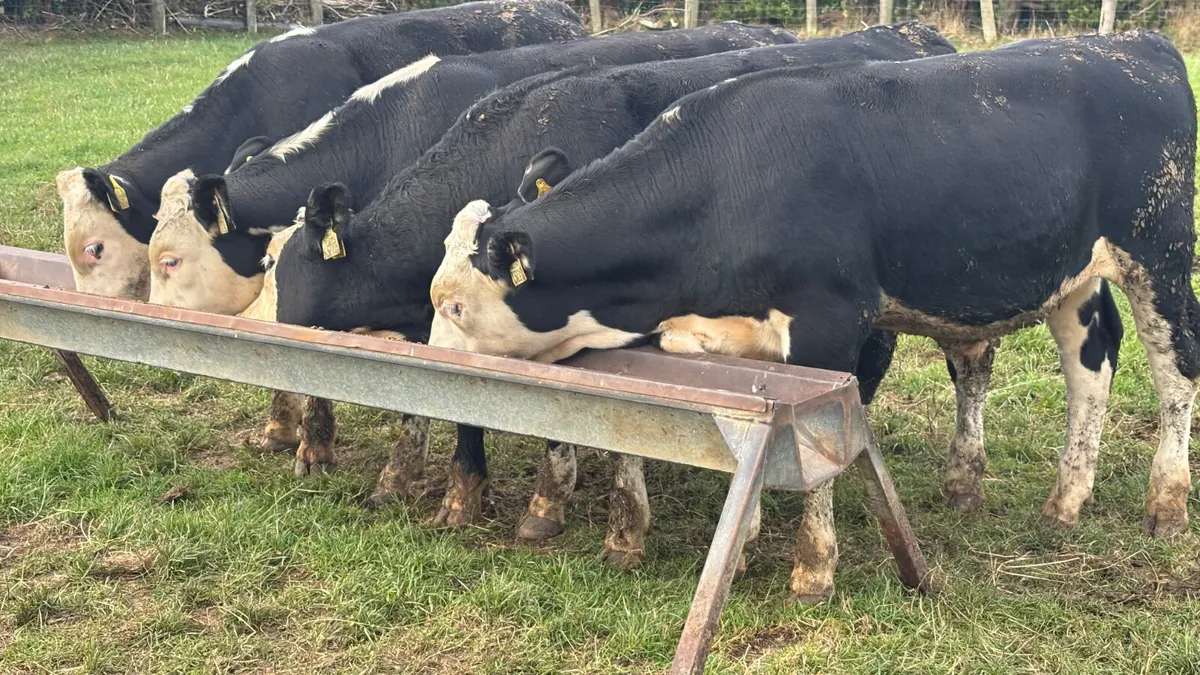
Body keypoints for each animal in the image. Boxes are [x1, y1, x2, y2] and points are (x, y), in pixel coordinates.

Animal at [426, 31, 1196, 601]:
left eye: (454, 304)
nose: (424, 370)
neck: (722, 187)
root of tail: (1139, 46)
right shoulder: (728, 337)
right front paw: (744, 543)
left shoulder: (829, 323)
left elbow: (819, 456)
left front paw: (813, 568)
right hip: (1072, 276)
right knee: (1091, 365)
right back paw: (1066, 498)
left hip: (1159, 255)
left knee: (1175, 371)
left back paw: (1165, 503)